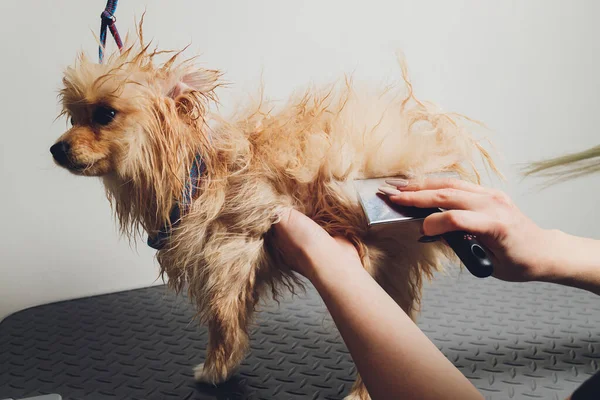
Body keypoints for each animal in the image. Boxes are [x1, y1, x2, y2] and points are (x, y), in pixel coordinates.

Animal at [50, 22, 492, 400]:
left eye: (104, 114)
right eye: (73, 116)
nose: (56, 148)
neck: (194, 177)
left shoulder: (230, 256)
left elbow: (222, 321)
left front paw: (216, 369)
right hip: (391, 270)